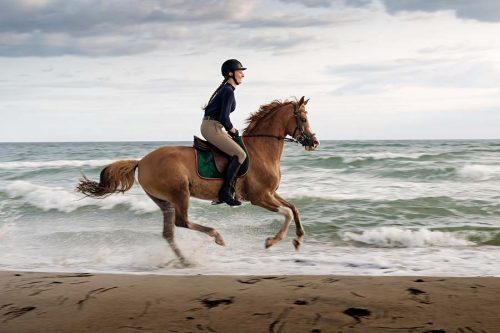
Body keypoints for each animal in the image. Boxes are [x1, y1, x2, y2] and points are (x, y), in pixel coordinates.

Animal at [78, 95, 320, 262]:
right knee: (182, 222)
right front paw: (271, 241)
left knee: (169, 232)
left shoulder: (270, 193)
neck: (261, 149)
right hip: (180, 193)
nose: (314, 142)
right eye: (304, 118)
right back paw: (216, 237)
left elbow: (294, 208)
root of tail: (142, 161)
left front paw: (298, 239)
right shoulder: (259, 197)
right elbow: (287, 212)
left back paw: (185, 261)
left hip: (164, 201)